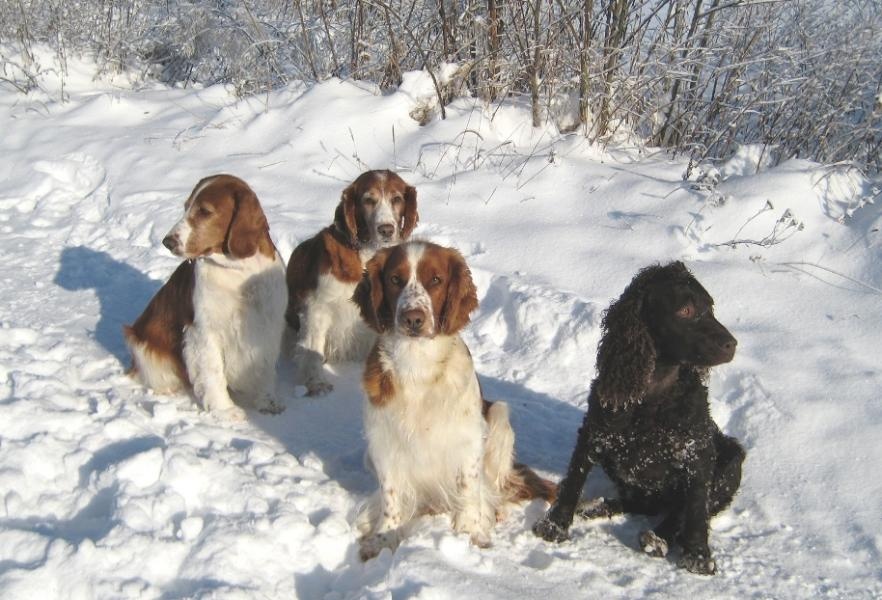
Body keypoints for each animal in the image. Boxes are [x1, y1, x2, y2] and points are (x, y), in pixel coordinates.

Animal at [124, 173, 286, 420]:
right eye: (186, 207)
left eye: (205, 211)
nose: (168, 242)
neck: (238, 271)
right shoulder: (203, 332)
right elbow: (212, 372)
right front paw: (225, 410)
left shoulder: (267, 324)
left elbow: (265, 367)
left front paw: (267, 401)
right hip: (144, 345)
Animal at [284, 170, 418, 394]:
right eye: (368, 200)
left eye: (397, 199)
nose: (386, 230)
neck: (366, 255)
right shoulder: (318, 307)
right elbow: (312, 348)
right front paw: (316, 383)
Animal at [348, 241, 552, 560]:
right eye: (395, 279)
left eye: (436, 280)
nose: (413, 318)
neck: (418, 367)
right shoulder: (383, 443)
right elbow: (391, 496)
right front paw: (383, 537)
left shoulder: (467, 441)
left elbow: (468, 489)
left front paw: (469, 535)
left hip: (499, 416)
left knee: (500, 484)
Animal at [528, 262, 744, 576]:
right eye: (686, 310)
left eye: (710, 307)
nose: (732, 345)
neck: (654, 394)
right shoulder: (595, 431)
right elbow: (573, 480)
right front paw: (554, 525)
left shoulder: (698, 451)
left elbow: (696, 507)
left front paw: (698, 556)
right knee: (640, 504)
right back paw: (595, 507)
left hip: (732, 459)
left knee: (679, 510)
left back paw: (657, 538)